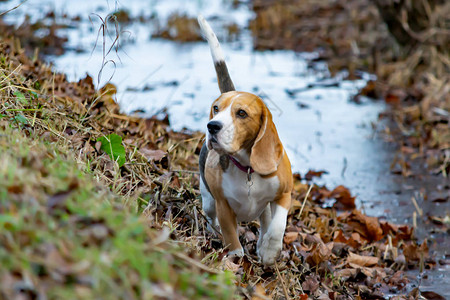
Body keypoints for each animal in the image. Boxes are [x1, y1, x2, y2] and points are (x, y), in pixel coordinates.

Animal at [199, 16, 294, 264]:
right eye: (216, 108)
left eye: (241, 113)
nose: (212, 126)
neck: (247, 167)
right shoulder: (222, 205)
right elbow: (232, 238)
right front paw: (235, 259)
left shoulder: (284, 193)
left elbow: (278, 225)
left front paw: (269, 252)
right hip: (208, 200)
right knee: (210, 217)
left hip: (265, 207)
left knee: (267, 220)